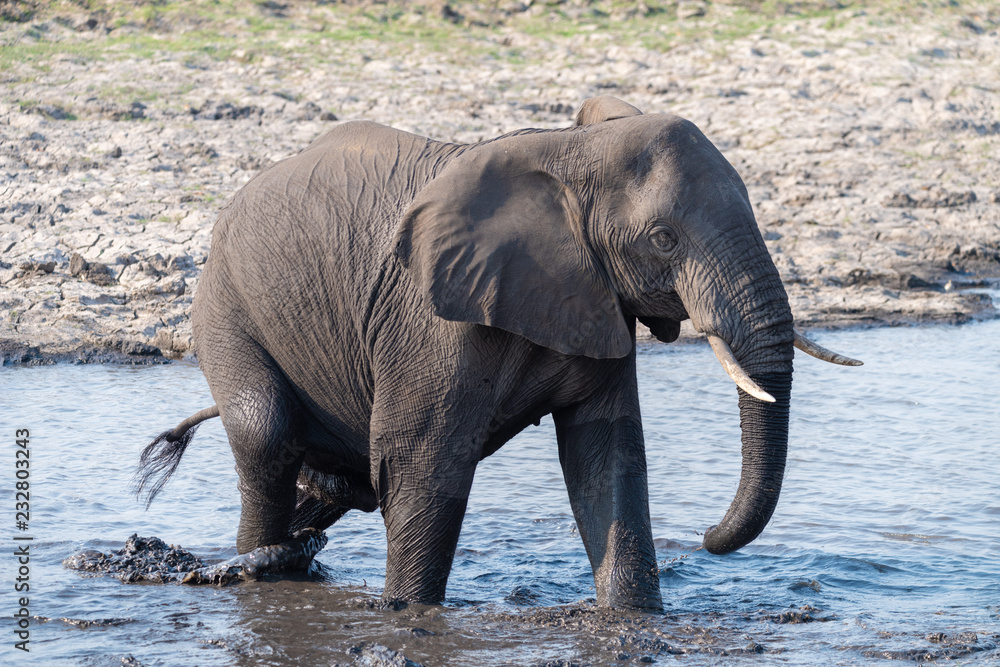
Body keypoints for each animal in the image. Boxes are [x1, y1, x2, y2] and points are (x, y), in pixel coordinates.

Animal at [134, 96, 860, 610]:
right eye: (663, 238)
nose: (709, 540)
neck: (572, 152)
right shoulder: (429, 318)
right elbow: (425, 464)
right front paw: (407, 615)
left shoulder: (593, 295)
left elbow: (606, 459)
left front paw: (633, 619)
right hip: (224, 303)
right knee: (266, 433)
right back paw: (257, 571)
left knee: (335, 482)